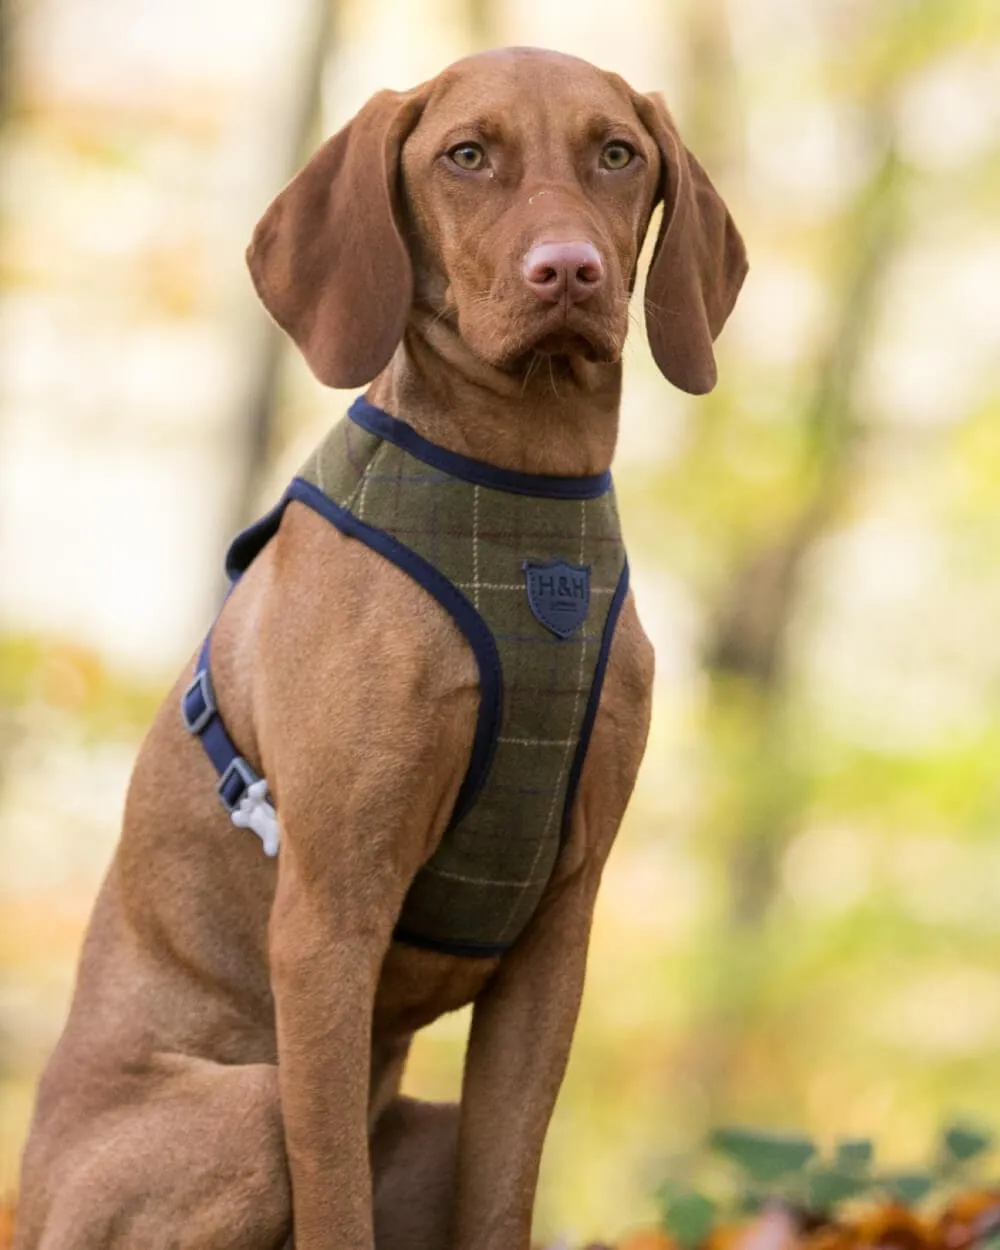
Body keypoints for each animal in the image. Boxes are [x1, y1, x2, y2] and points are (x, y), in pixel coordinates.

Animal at [9, 46, 740, 1250]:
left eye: (617, 153)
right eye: (467, 155)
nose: (570, 272)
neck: (522, 491)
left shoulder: (557, 934)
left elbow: (504, 1194)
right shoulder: (328, 920)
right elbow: (333, 1198)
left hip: (422, 1128)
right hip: (242, 1107)